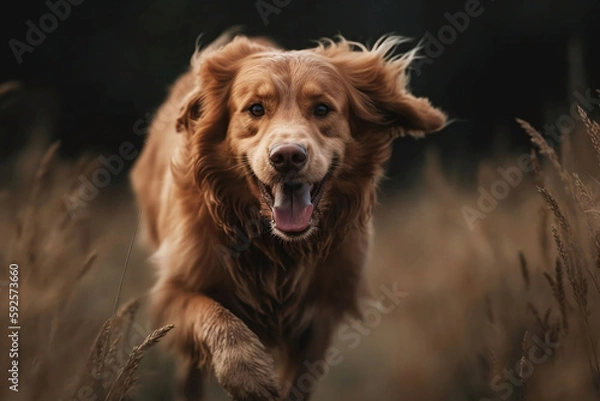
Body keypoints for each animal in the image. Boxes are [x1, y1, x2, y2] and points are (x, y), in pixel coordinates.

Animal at [130, 32, 446, 400]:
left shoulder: (320, 315)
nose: (287, 156)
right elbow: (216, 316)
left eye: (322, 108)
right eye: (255, 108)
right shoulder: (172, 291)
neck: (274, 246)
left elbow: (298, 381)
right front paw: (248, 374)